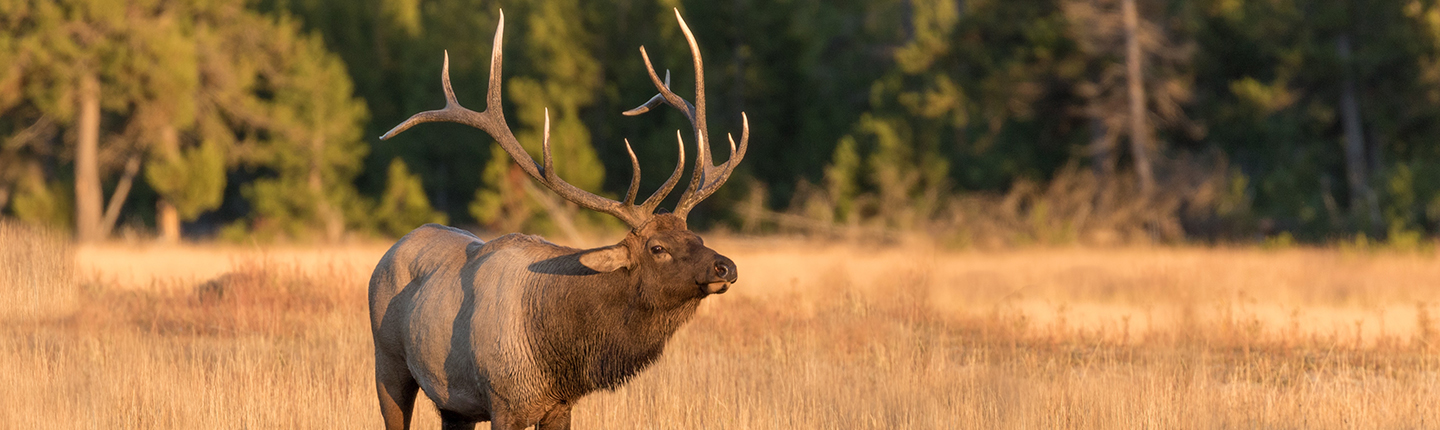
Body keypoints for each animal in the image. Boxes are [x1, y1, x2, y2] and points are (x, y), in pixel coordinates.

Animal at [368, 9, 748, 430]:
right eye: (657, 248)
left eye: (696, 237)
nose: (726, 266)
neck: (560, 356)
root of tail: (391, 250)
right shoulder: (505, 402)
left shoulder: (561, 405)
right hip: (388, 363)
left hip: (453, 404)